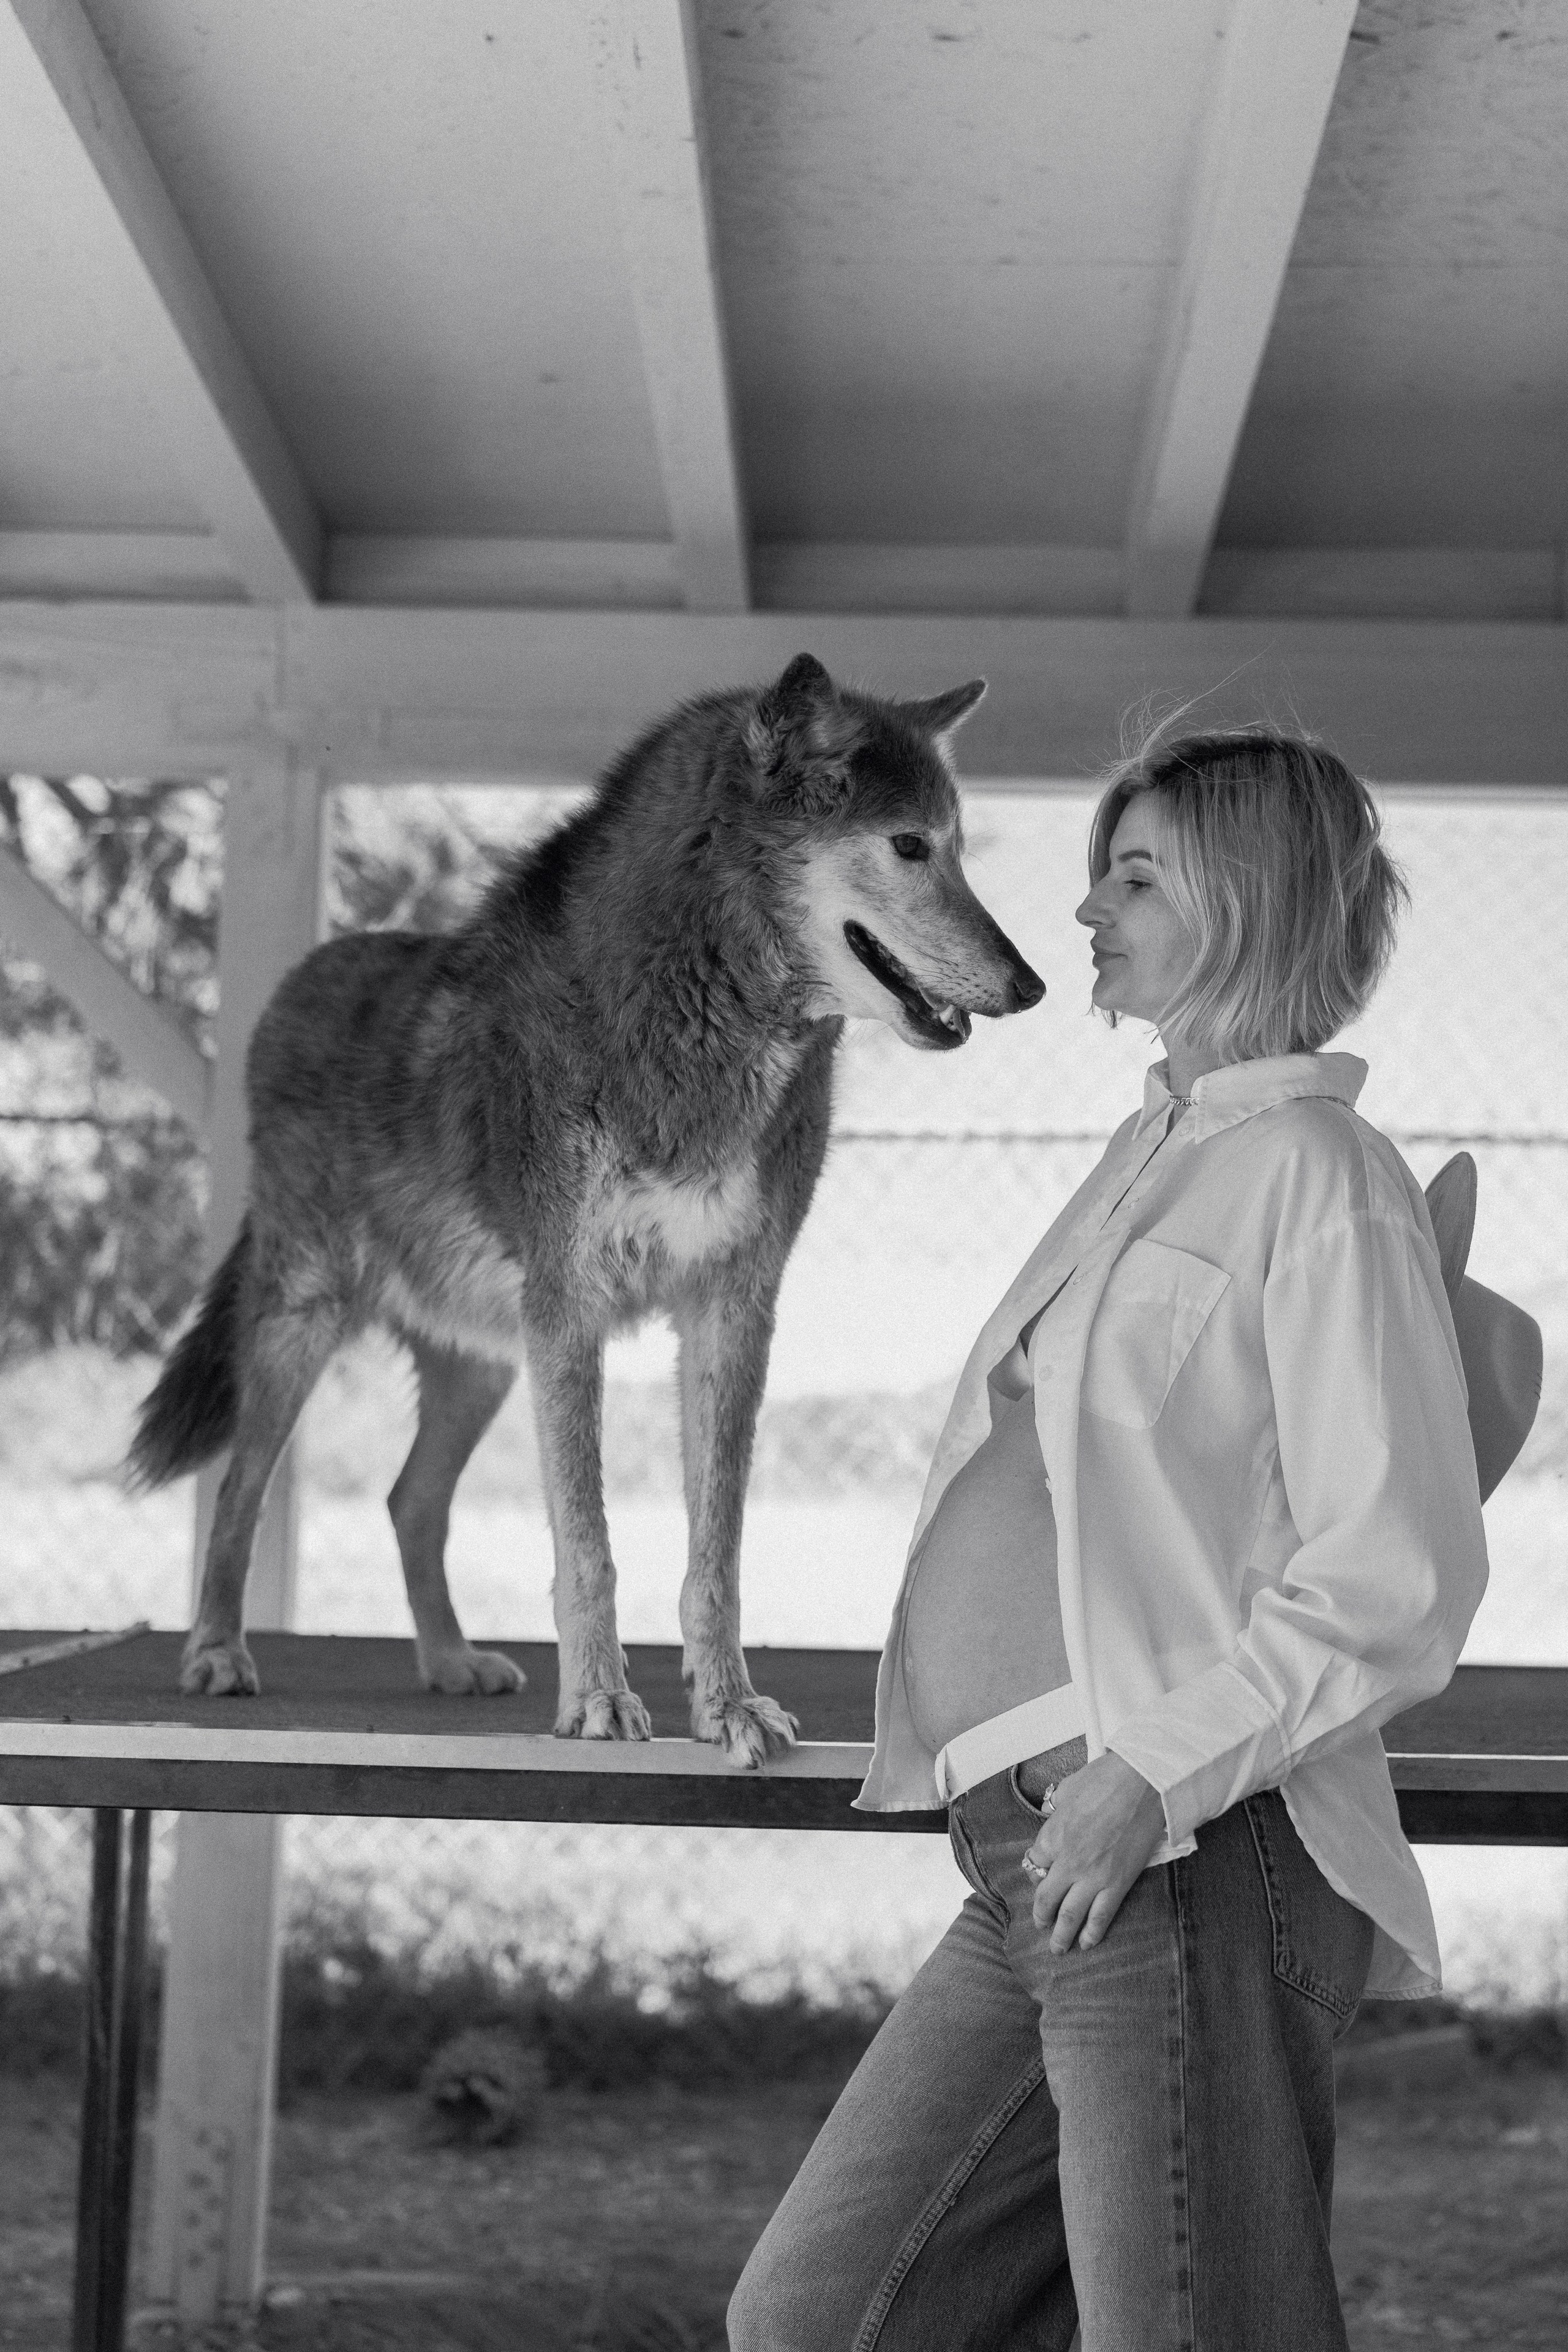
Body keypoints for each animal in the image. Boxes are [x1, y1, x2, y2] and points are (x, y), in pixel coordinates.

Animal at [129, 653, 1044, 1764]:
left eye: (957, 846)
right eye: (910, 846)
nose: (1033, 984)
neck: (695, 1024)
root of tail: (291, 985)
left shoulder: (733, 1310)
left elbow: (716, 1552)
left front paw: (729, 1707)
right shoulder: (572, 1309)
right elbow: (589, 1541)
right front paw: (602, 1703)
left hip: (481, 1362)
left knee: (409, 1502)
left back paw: (450, 1662)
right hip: (303, 1325)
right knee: (239, 1491)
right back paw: (218, 1655)